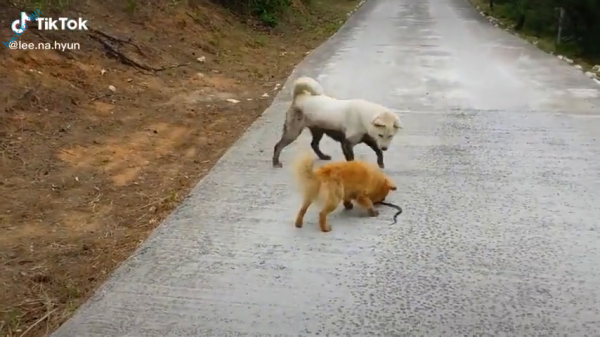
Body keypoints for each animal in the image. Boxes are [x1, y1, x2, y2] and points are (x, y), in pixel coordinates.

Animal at [272, 75, 404, 167]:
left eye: (391, 136)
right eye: (381, 135)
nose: (385, 148)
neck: (364, 117)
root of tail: (299, 96)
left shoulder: (368, 139)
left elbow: (378, 151)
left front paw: (380, 163)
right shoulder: (347, 143)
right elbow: (351, 159)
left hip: (318, 130)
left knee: (314, 144)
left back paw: (323, 156)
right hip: (293, 131)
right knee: (278, 146)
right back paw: (276, 162)